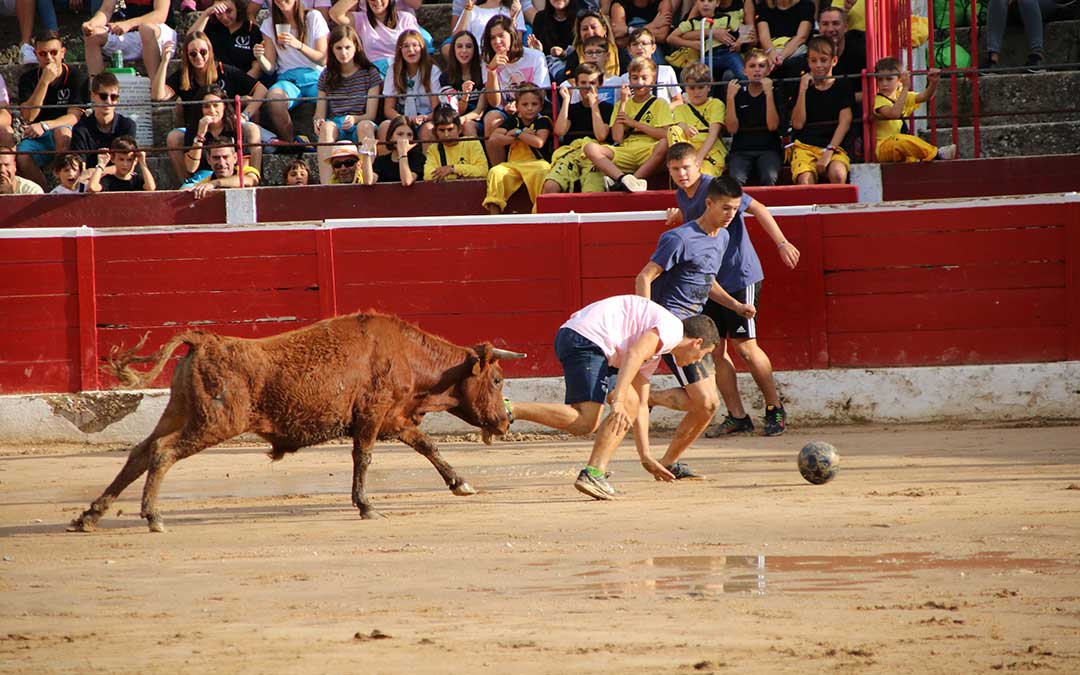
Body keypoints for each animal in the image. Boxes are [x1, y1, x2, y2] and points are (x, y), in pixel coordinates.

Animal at [68, 311, 525, 533]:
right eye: (497, 379)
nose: (505, 422)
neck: (408, 354)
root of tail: (204, 340)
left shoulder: (394, 417)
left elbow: (426, 445)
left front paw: (460, 483)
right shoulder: (373, 415)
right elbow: (364, 458)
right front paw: (366, 506)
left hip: (179, 410)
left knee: (139, 453)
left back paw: (90, 516)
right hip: (216, 422)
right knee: (162, 453)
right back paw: (153, 517)